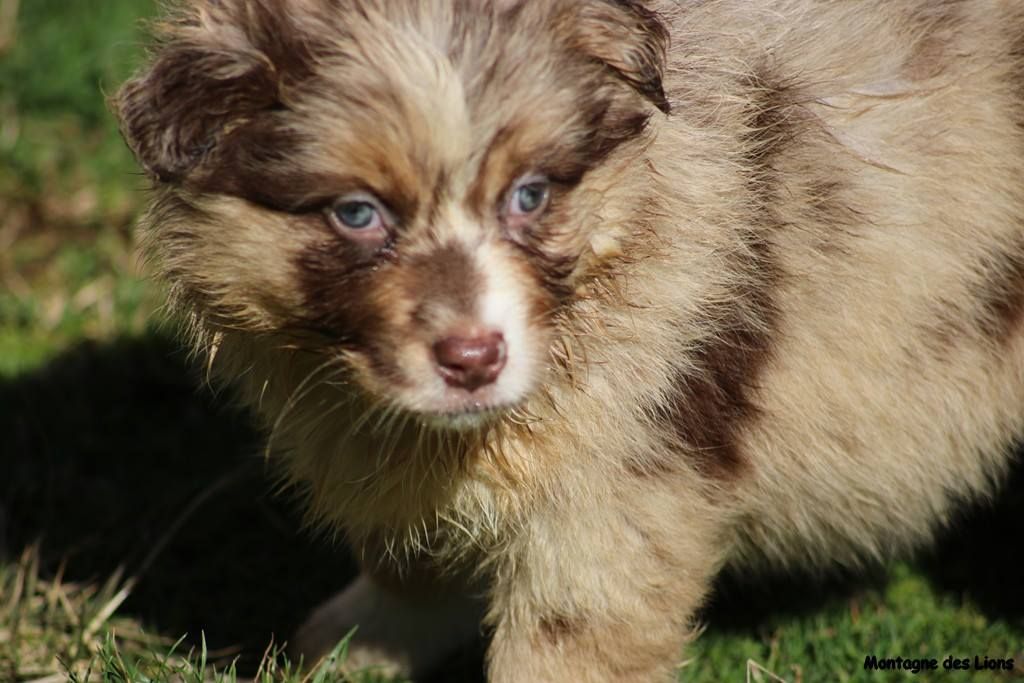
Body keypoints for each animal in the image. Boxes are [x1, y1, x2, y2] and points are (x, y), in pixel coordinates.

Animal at [116, 2, 1024, 679]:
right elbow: (409, 558)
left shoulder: (621, 481)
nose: (474, 359)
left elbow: (564, 641)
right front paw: (350, 646)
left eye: (530, 194)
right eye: (357, 213)